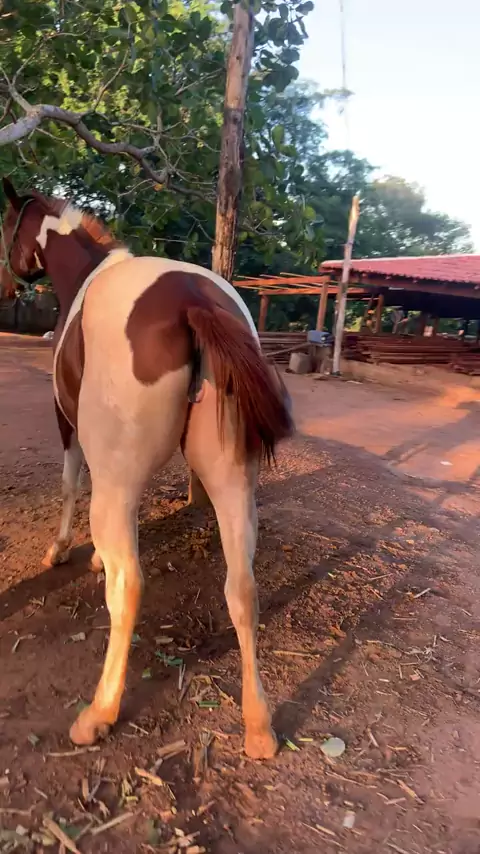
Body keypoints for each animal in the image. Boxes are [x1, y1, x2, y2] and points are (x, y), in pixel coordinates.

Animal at [0, 178, 294, 759]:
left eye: (6, 227)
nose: (4, 285)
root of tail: (193, 298)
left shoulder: (66, 422)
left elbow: (70, 484)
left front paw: (63, 551)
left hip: (127, 483)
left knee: (129, 587)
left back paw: (100, 711)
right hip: (232, 484)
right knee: (242, 589)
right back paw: (258, 727)